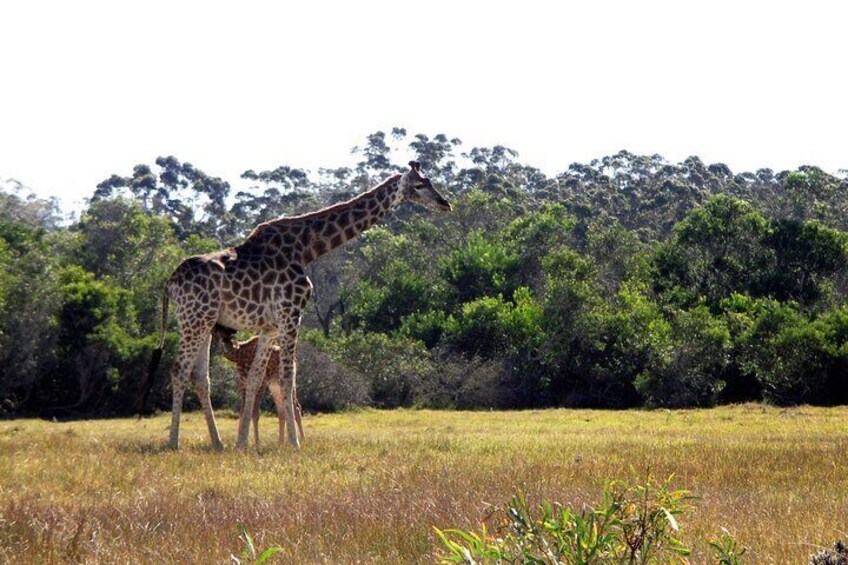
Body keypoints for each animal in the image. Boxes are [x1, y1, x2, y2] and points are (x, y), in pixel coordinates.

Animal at [142, 161, 451, 450]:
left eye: (430, 181)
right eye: (420, 185)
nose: (445, 203)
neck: (306, 249)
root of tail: (170, 282)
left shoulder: (269, 327)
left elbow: (255, 378)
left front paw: (242, 444)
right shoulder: (292, 314)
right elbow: (288, 377)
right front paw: (293, 443)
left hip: (203, 323)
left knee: (200, 377)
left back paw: (218, 444)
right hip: (194, 319)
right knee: (179, 370)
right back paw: (173, 442)